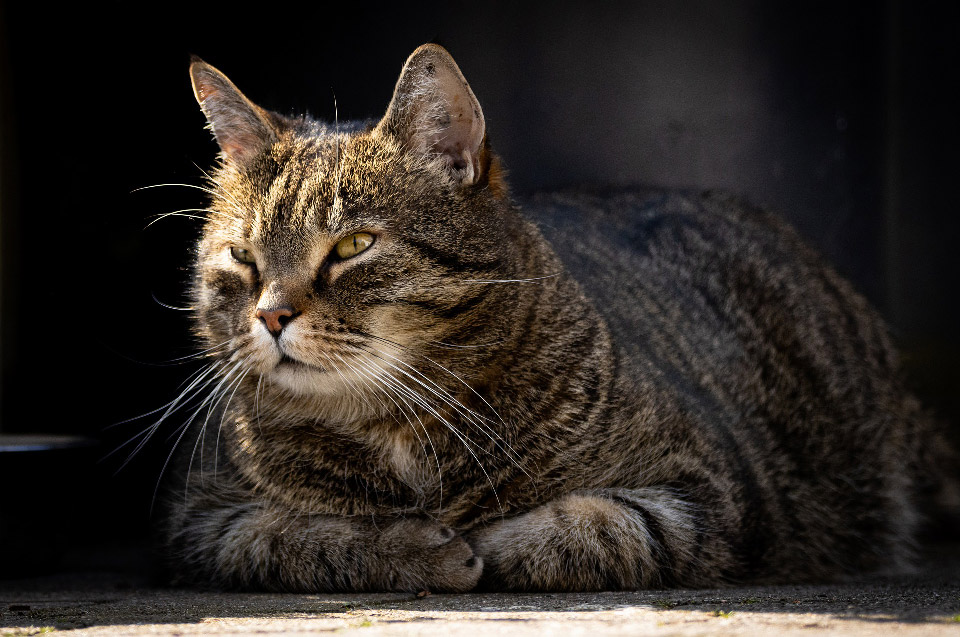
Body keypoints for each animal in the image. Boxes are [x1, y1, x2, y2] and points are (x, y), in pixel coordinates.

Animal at [159, 43, 952, 592]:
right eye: (242, 255)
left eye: (353, 246)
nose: (270, 315)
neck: (399, 428)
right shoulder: (202, 517)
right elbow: (294, 538)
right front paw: (412, 545)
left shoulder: (710, 492)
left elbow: (602, 524)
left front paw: (488, 539)